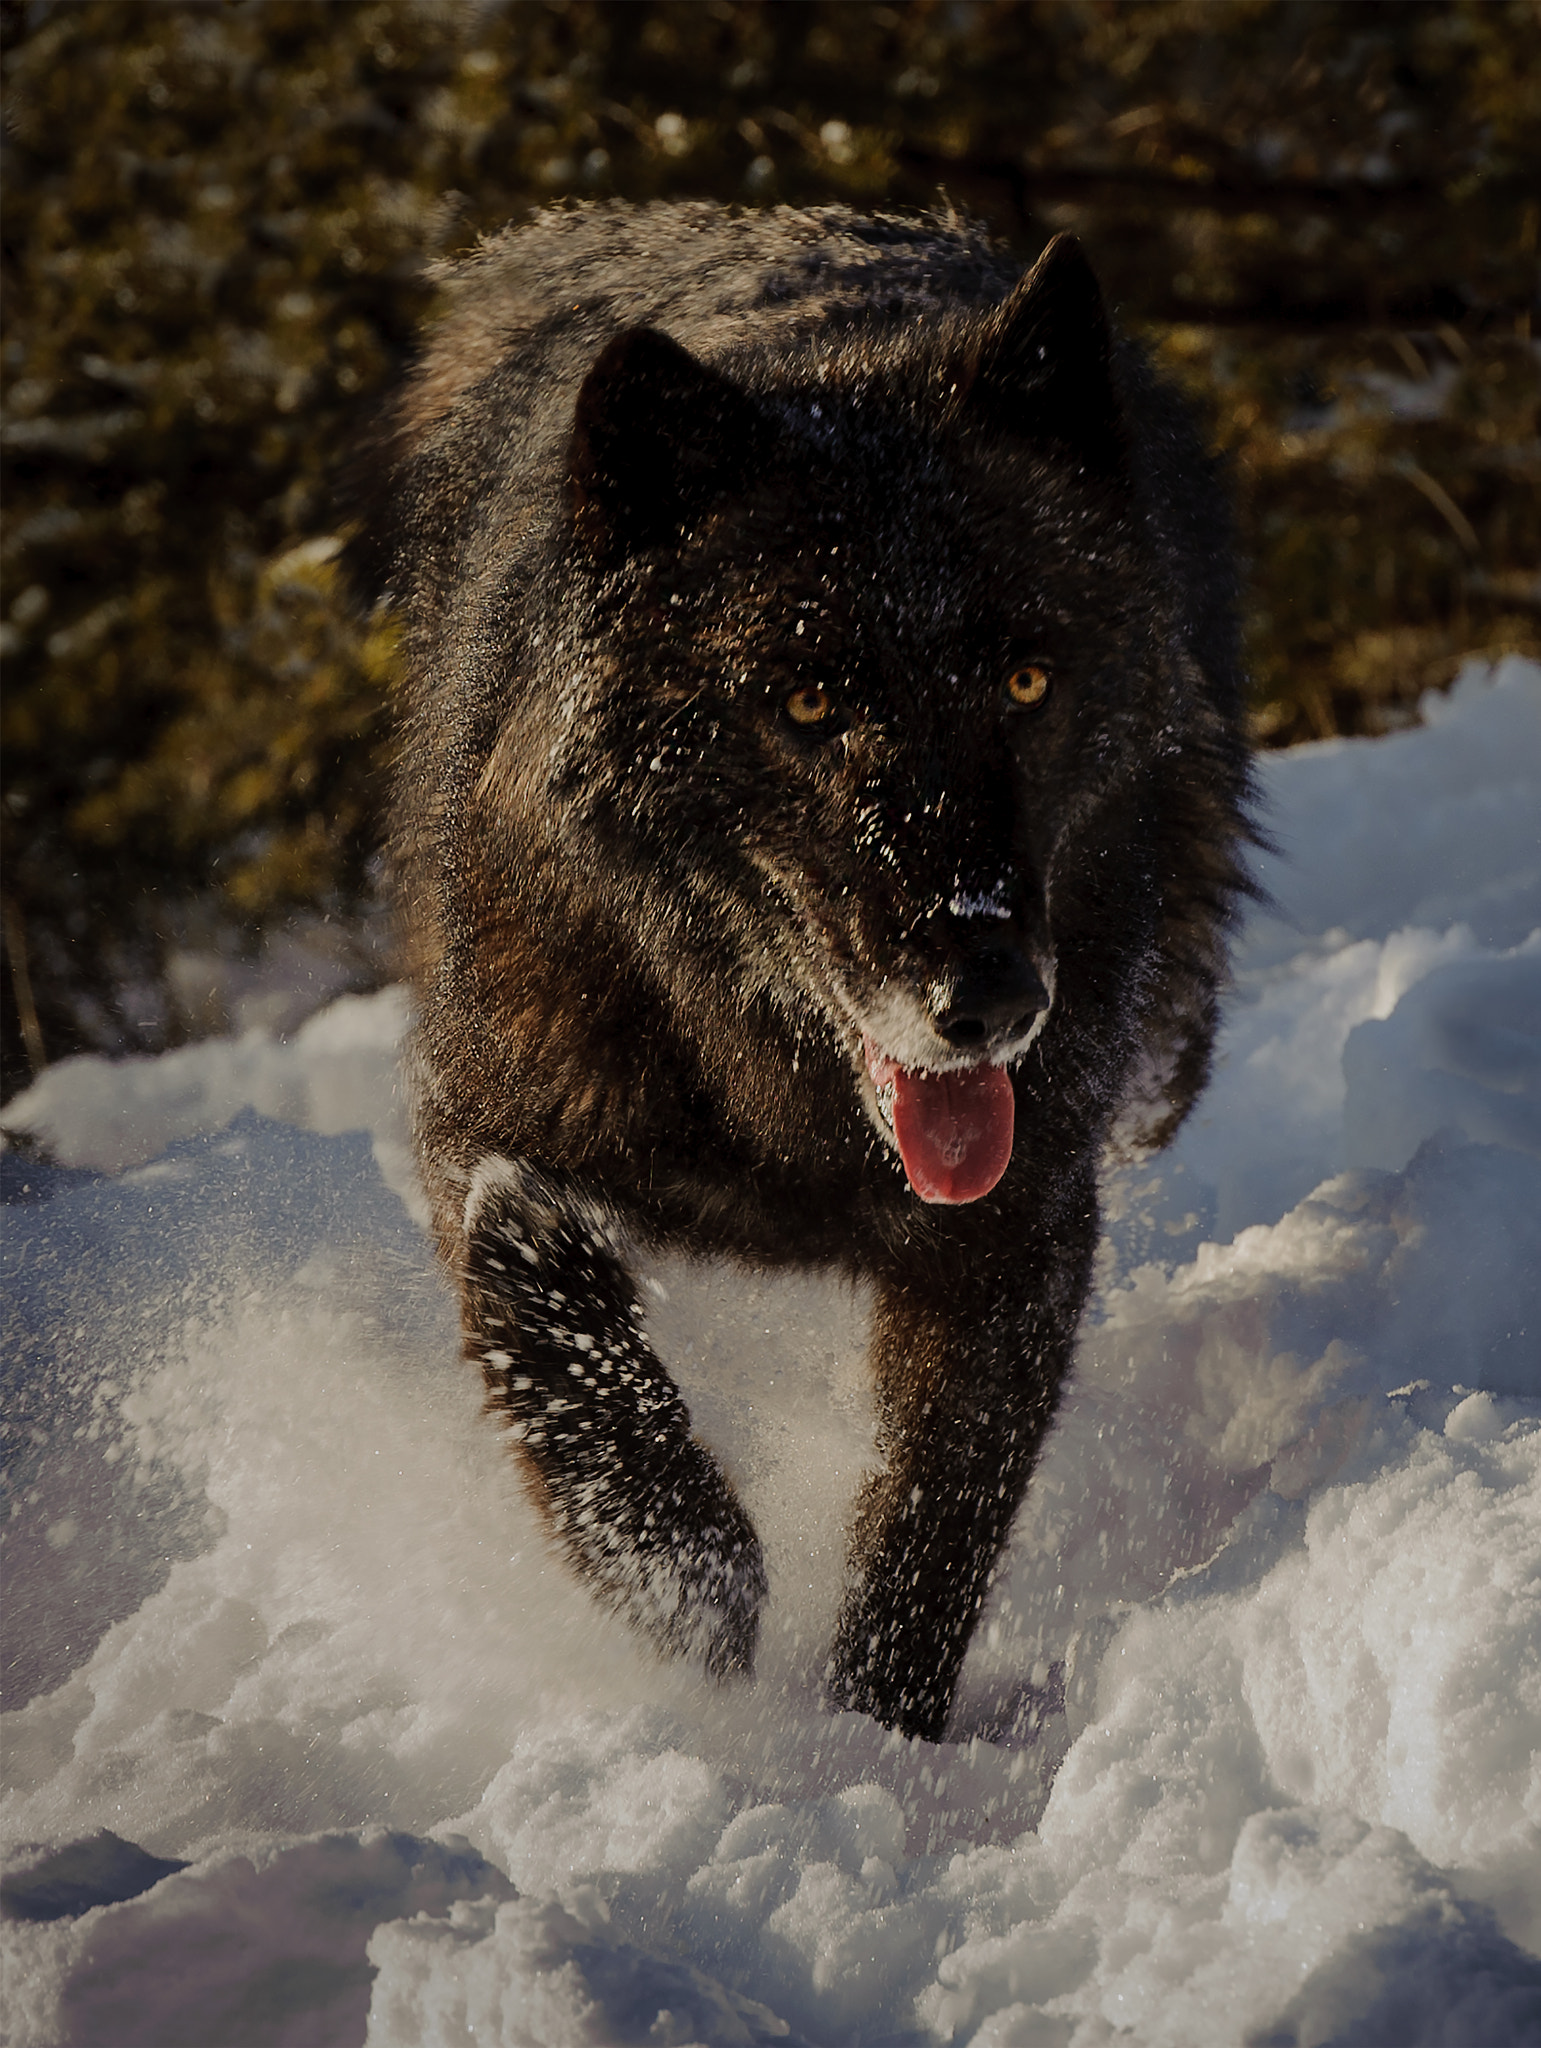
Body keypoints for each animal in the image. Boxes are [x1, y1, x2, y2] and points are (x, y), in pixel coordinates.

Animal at [349, 204, 1253, 1742]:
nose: (989, 999)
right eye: (809, 699)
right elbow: (536, 1275)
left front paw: (872, 1747)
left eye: (1024, 680)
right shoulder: (482, 1115)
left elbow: (934, 1521)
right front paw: (682, 1586)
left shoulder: (1017, 1226)